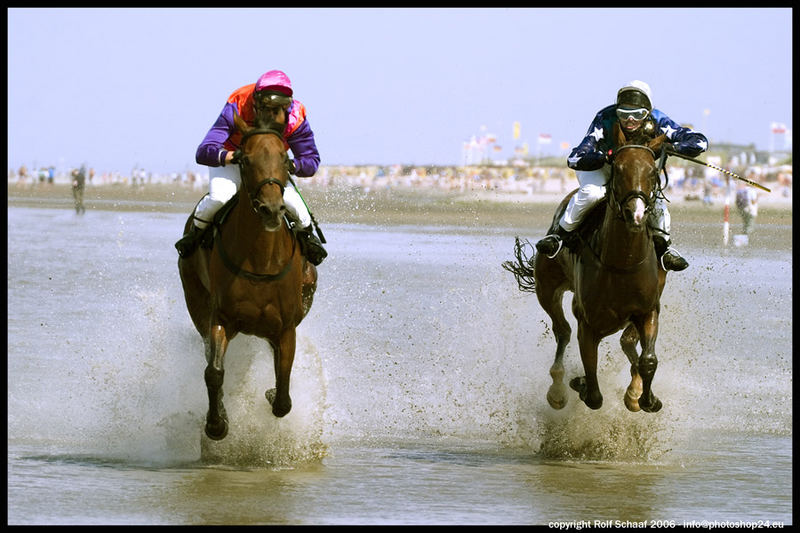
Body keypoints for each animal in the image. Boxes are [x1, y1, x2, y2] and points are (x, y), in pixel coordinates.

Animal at [180, 110, 318, 438]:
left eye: (285, 159)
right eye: (244, 160)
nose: (271, 209)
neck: (261, 261)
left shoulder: (286, 327)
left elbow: (283, 390)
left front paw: (272, 394)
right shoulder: (220, 317)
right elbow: (213, 371)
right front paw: (217, 423)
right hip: (194, 297)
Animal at [506, 122, 668, 414]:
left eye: (652, 171)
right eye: (619, 168)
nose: (637, 214)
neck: (622, 264)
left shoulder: (648, 309)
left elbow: (647, 358)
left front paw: (646, 398)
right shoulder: (588, 324)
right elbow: (593, 389)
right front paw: (579, 383)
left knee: (625, 342)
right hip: (547, 288)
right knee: (562, 331)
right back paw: (557, 389)